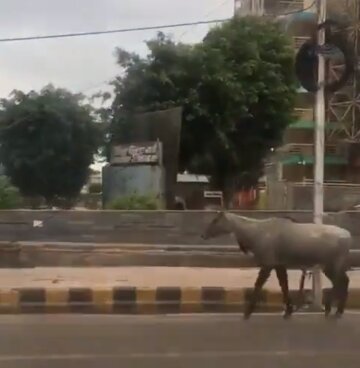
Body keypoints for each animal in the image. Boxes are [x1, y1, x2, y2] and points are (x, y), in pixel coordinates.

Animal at [202, 211, 352, 320]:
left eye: (215, 220)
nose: (203, 235)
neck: (256, 232)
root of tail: (348, 236)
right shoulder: (279, 265)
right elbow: (284, 285)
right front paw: (288, 311)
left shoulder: (268, 264)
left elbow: (258, 285)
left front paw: (247, 312)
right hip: (331, 266)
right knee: (343, 282)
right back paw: (336, 310)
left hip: (332, 265)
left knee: (341, 282)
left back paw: (332, 310)